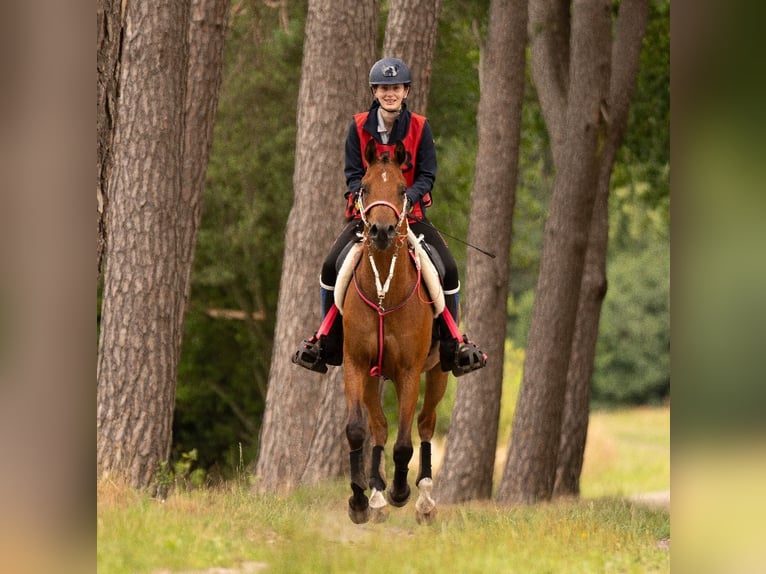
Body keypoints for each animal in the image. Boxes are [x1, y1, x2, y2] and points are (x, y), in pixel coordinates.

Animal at [341, 139, 449, 525]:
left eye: (403, 189)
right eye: (364, 187)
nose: (382, 231)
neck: (384, 291)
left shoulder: (409, 372)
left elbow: (403, 443)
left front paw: (401, 492)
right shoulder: (355, 365)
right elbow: (357, 430)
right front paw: (360, 500)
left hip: (439, 372)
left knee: (426, 423)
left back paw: (425, 502)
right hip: (373, 377)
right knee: (378, 428)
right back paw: (375, 497)